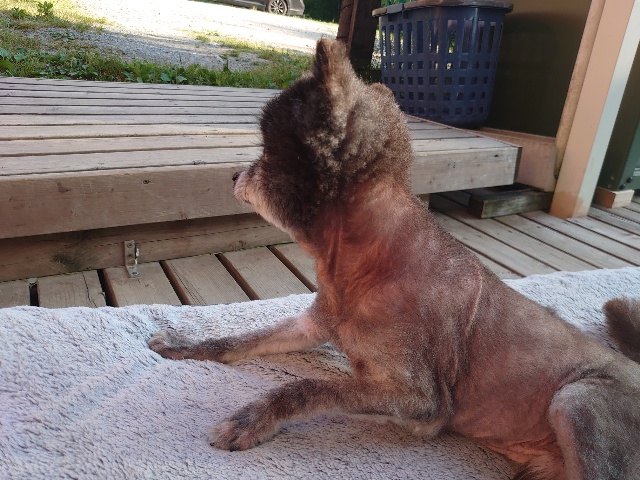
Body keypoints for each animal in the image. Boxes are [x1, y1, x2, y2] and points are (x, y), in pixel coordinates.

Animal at [149, 39, 640, 480]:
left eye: (267, 154)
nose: (234, 175)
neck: (366, 268)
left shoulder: (423, 403)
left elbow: (308, 387)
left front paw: (252, 419)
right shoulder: (312, 325)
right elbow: (238, 339)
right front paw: (185, 343)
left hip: (576, 400)